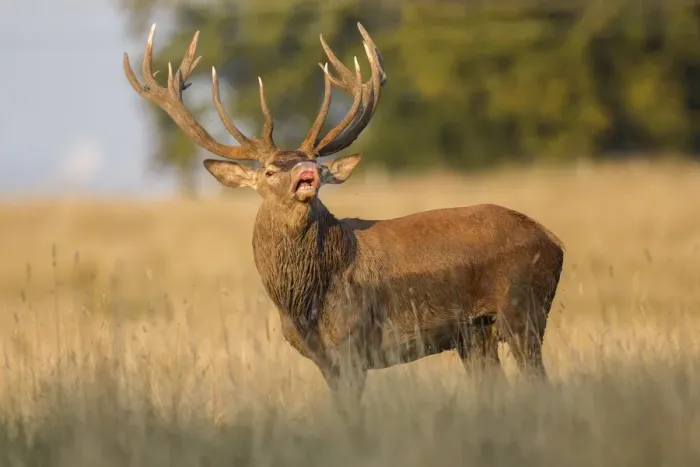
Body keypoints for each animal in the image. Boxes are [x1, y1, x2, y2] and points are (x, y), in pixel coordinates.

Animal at [123, 23, 565, 403]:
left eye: (317, 165)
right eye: (269, 170)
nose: (306, 172)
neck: (302, 302)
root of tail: (555, 242)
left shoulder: (353, 345)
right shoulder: (322, 358)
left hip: (523, 308)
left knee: (539, 381)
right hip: (474, 333)